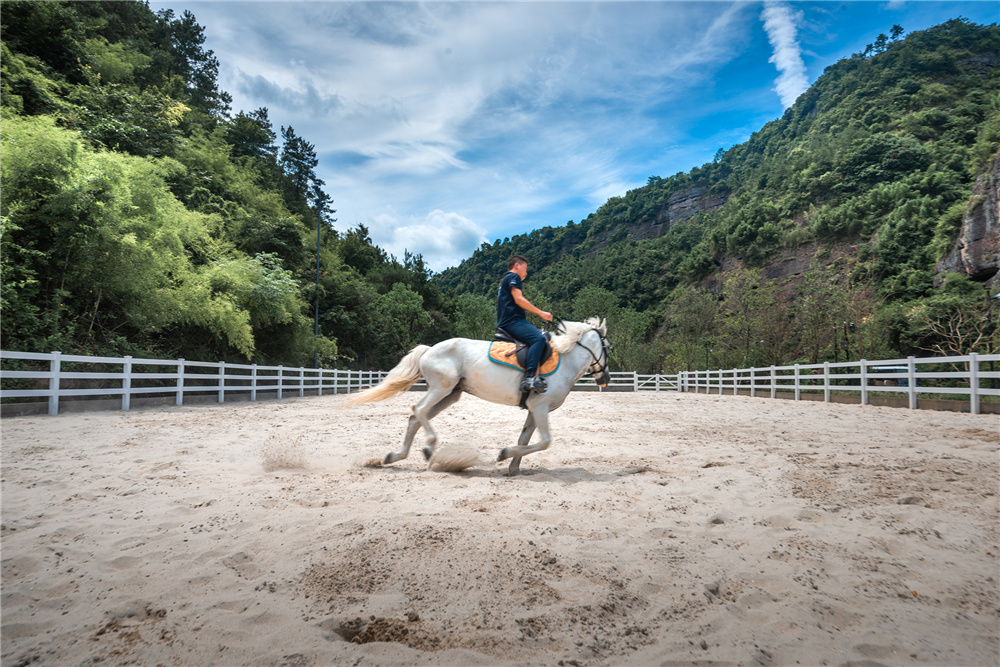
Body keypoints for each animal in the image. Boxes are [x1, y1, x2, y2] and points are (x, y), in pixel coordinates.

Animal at [344, 318, 608, 474]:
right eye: (608, 347)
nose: (605, 378)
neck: (566, 361)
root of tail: (429, 349)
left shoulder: (534, 409)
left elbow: (525, 440)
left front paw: (513, 468)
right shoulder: (540, 406)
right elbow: (545, 442)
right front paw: (504, 454)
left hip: (450, 395)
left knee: (414, 419)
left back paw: (394, 456)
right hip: (441, 388)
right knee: (418, 411)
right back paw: (429, 448)